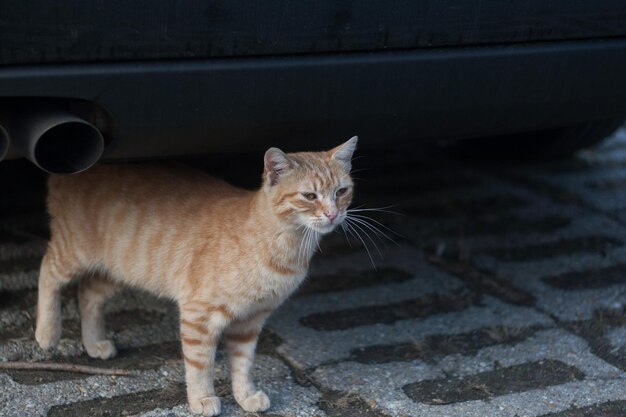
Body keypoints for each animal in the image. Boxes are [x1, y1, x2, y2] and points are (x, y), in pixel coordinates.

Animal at [34, 136, 356, 412]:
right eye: (309, 195)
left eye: (341, 191)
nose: (332, 215)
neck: (285, 249)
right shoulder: (199, 314)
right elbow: (201, 365)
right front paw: (202, 399)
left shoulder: (250, 321)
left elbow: (243, 364)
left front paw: (246, 395)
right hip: (74, 252)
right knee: (47, 270)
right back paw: (47, 333)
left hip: (119, 270)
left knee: (87, 292)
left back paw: (93, 343)